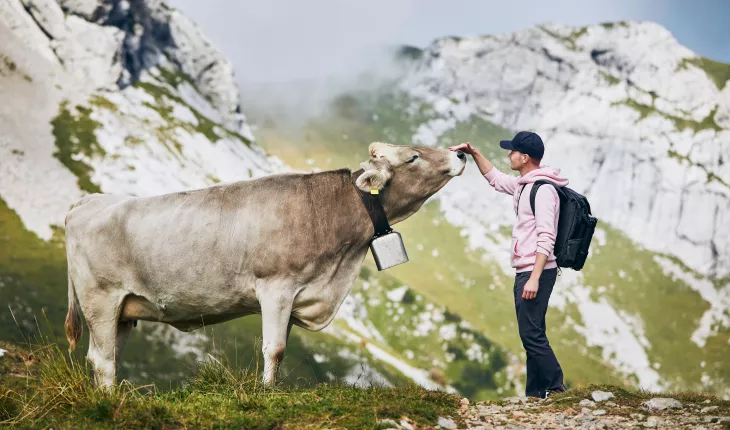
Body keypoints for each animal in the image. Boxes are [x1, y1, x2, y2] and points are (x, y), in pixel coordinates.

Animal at [64, 142, 467, 387]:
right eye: (413, 157)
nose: (460, 154)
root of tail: (88, 201)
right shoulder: (276, 287)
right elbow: (274, 349)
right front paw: (267, 393)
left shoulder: (297, 294)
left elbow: (282, 348)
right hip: (100, 299)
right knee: (102, 359)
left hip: (124, 310)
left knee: (108, 356)